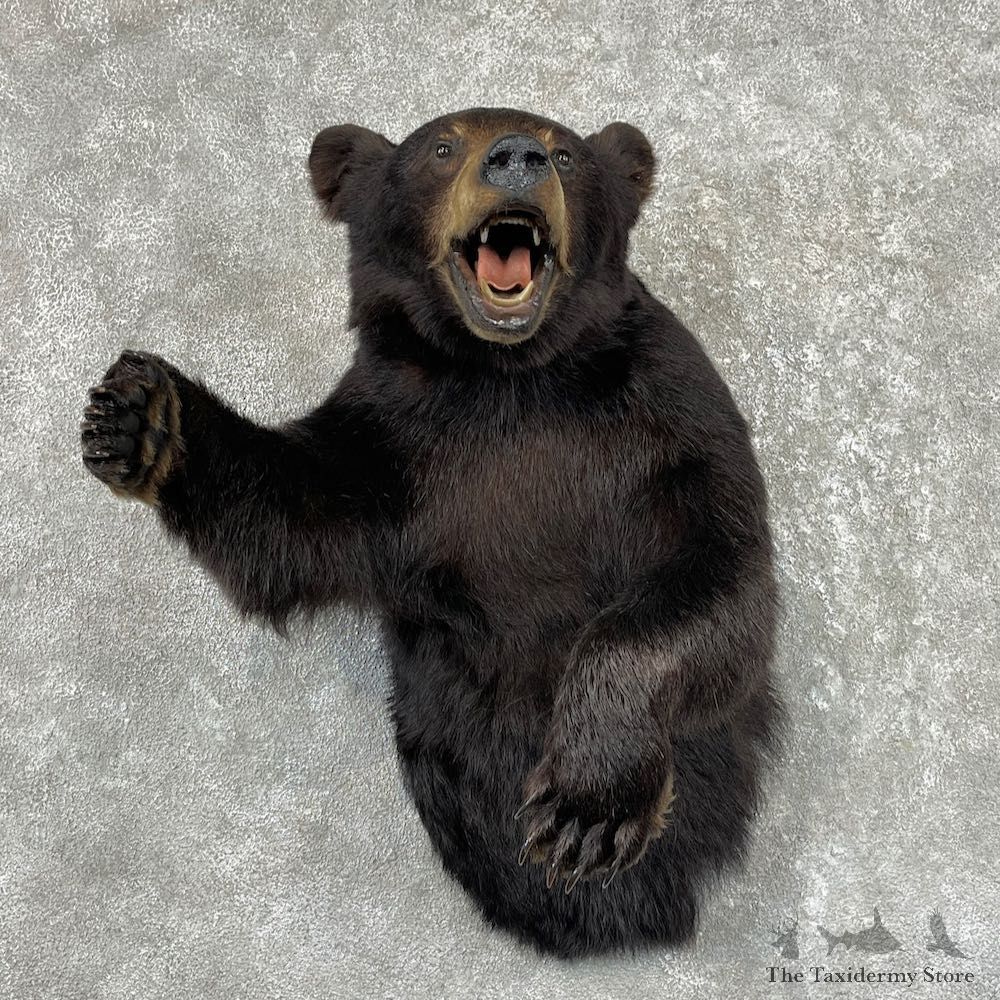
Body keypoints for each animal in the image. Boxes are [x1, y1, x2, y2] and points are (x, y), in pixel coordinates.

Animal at [80, 107, 782, 958]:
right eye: (444, 145)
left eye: (567, 153)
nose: (517, 157)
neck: (508, 374)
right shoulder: (396, 444)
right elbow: (286, 524)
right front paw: (144, 414)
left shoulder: (667, 413)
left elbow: (719, 580)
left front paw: (587, 813)